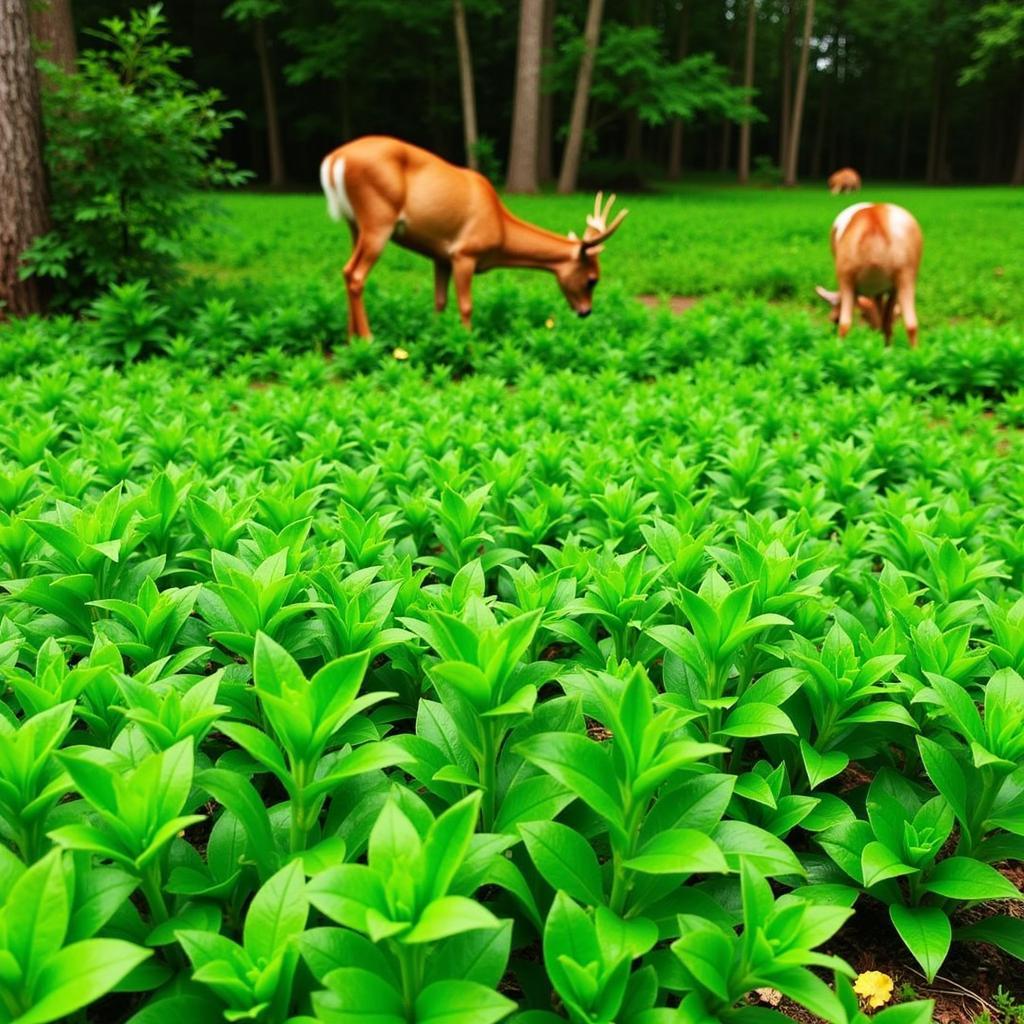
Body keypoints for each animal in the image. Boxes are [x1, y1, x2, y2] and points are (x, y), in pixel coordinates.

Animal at [319, 133, 626, 335]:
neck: (500, 230)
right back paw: (367, 339)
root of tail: (335, 158)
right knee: (356, 275)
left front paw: (438, 337)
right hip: (378, 219)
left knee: (346, 271)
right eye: (592, 279)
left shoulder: (440, 256)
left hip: (354, 223)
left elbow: (440, 302)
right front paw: (468, 347)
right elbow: (466, 306)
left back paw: (350, 338)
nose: (585, 311)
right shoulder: (464, 253)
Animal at [811, 203, 925, 348]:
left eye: (834, 319)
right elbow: (885, 320)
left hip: (846, 279)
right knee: (911, 324)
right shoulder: (886, 289)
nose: (831, 328)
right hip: (906, 277)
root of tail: (875, 215)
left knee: (845, 324)